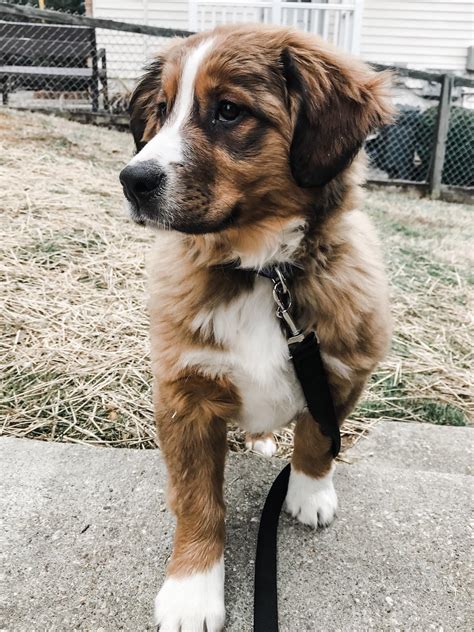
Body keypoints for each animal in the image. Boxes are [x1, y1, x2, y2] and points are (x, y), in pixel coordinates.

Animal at [121, 24, 392, 632]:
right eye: (162, 110)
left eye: (228, 111)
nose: (131, 180)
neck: (263, 272)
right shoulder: (185, 396)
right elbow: (197, 501)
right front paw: (192, 589)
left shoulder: (339, 371)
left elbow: (318, 438)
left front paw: (309, 494)